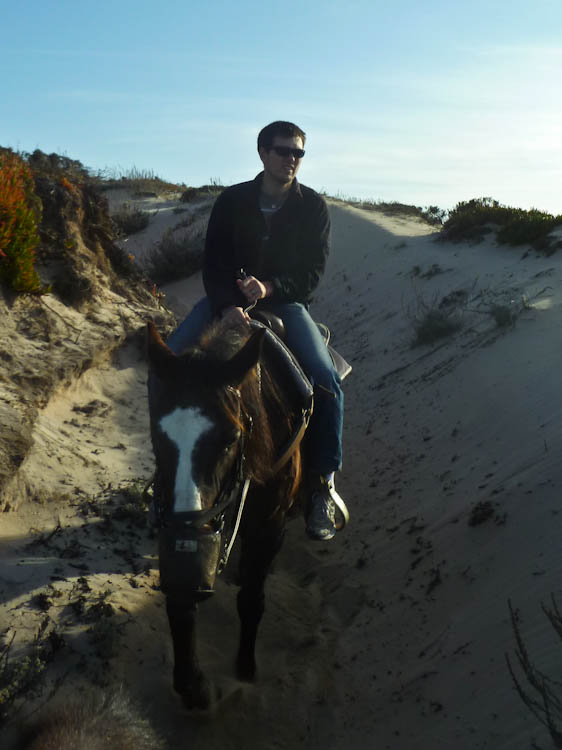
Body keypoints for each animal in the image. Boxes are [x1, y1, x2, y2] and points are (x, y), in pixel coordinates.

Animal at [147, 318, 308, 712]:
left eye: (232, 437)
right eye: (157, 434)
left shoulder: (269, 525)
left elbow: (251, 599)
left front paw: (245, 669)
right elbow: (181, 601)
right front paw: (194, 685)